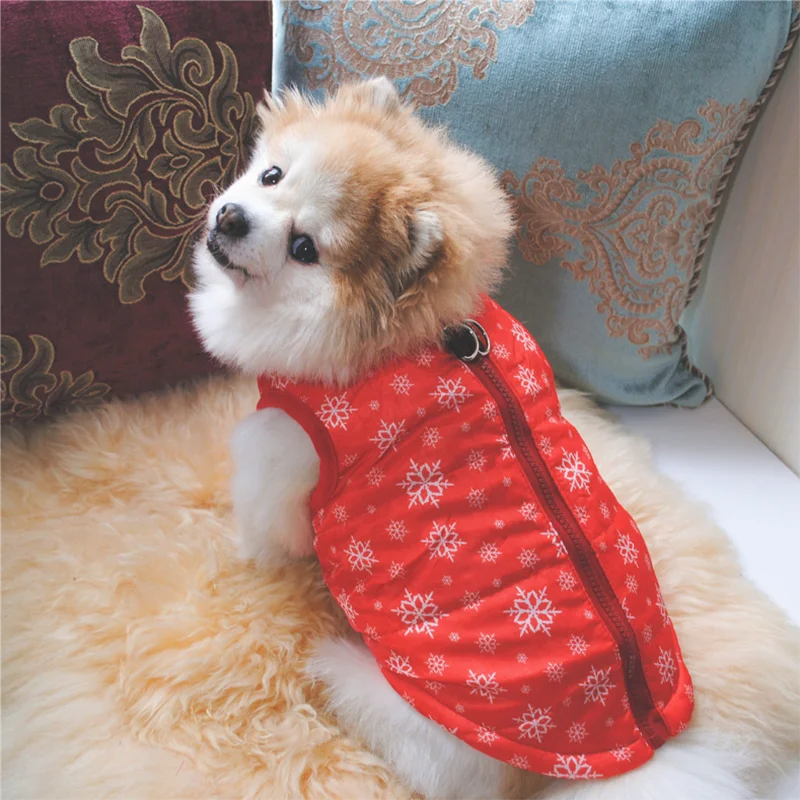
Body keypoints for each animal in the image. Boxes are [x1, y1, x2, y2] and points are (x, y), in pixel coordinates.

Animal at [190, 78, 759, 800]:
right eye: (272, 175)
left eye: (305, 249)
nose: (233, 217)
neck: (430, 335)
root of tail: (635, 747)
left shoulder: (281, 450)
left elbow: (265, 529)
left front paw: (241, 546)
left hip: (398, 701)